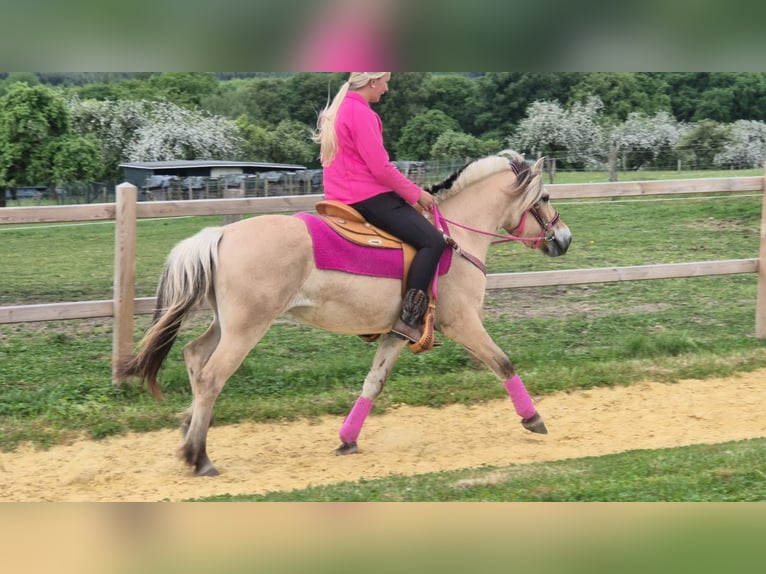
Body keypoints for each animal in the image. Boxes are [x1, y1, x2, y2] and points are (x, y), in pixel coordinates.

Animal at [118, 150, 572, 476]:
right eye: (545, 197)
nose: (564, 239)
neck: (455, 237)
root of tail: (222, 233)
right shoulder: (462, 322)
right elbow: (502, 362)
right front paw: (534, 419)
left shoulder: (398, 332)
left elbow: (373, 383)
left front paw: (347, 439)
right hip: (246, 328)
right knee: (212, 376)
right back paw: (200, 458)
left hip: (224, 325)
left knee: (195, 358)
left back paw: (188, 436)